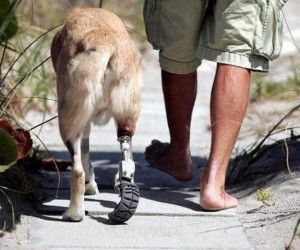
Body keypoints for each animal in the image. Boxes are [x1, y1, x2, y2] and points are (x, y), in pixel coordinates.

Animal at [50, 7, 142, 222]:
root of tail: (105, 43)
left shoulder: (82, 123)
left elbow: (85, 155)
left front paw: (90, 187)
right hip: (127, 113)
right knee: (127, 157)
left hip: (68, 119)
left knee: (77, 170)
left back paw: (73, 213)